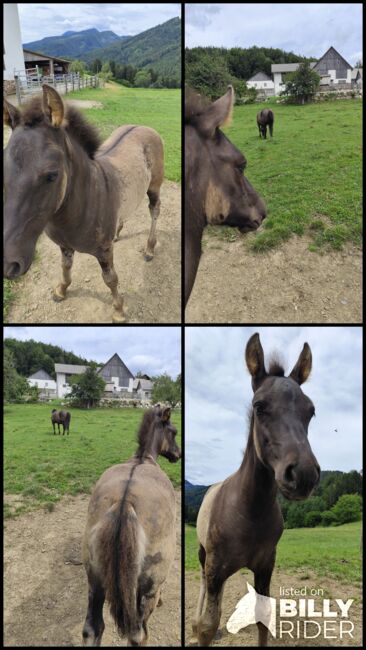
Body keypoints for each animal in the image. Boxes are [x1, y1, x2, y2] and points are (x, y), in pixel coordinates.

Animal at [3, 83, 164, 322]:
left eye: (52, 175)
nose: (8, 263)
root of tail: (144, 127)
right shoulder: (64, 245)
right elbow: (65, 268)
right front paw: (61, 291)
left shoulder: (104, 252)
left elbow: (111, 279)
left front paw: (118, 311)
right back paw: (118, 233)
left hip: (154, 187)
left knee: (154, 210)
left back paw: (150, 249)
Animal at [82, 404, 181, 644]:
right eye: (173, 431)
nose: (178, 454)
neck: (142, 458)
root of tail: (124, 502)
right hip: (146, 588)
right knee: (138, 634)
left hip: (95, 579)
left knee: (92, 628)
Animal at [193, 334, 318, 644]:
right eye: (259, 406)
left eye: (310, 411)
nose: (304, 474)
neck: (249, 512)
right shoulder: (215, 566)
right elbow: (207, 625)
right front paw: (200, 628)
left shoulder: (265, 566)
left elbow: (263, 618)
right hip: (204, 555)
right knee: (202, 585)